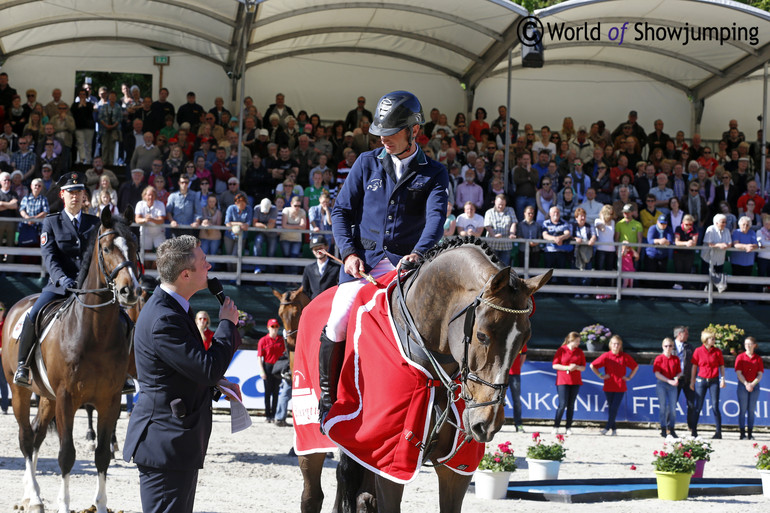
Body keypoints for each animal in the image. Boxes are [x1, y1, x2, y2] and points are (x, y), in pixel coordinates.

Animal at [0, 207, 140, 512]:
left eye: (134, 248)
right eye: (107, 248)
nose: (130, 291)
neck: (95, 332)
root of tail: (20, 304)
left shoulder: (110, 399)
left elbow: (102, 455)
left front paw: (101, 505)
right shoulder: (66, 398)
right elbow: (66, 454)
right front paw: (64, 504)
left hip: (46, 398)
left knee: (37, 435)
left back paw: (31, 494)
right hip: (20, 391)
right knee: (26, 439)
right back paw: (35, 497)